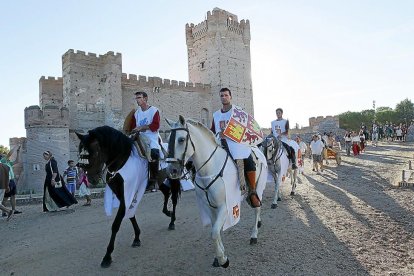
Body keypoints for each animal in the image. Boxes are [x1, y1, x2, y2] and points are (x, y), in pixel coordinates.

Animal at [77, 125, 180, 268]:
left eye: (95, 152)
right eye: (81, 153)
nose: (91, 179)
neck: (121, 162)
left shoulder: (128, 193)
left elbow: (116, 224)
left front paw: (107, 256)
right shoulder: (122, 195)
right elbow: (131, 215)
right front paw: (137, 238)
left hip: (173, 178)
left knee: (174, 198)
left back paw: (172, 221)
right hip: (159, 181)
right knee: (166, 192)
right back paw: (167, 212)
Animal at [166, 116, 268, 268]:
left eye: (181, 139)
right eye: (168, 139)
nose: (172, 171)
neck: (210, 169)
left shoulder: (224, 207)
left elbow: (214, 232)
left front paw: (223, 259)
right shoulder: (210, 207)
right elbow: (216, 230)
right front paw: (219, 255)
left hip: (259, 188)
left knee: (257, 208)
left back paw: (254, 235)